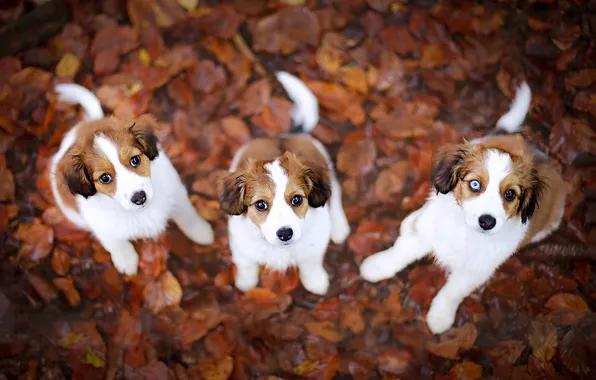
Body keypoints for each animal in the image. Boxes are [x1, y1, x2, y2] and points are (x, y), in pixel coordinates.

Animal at [50, 83, 214, 274]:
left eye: (135, 160)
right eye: (105, 178)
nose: (140, 197)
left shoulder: (175, 193)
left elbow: (188, 215)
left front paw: (201, 231)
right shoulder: (102, 227)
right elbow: (116, 244)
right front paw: (126, 261)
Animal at [218, 72, 350, 296]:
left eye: (296, 200)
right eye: (261, 204)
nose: (285, 234)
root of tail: (287, 134)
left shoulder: (314, 245)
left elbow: (311, 263)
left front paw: (316, 281)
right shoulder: (242, 247)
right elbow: (246, 265)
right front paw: (246, 283)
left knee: (336, 194)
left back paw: (339, 226)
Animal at [358, 82, 568, 332]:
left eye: (510, 194)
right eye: (475, 184)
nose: (487, 222)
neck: (464, 230)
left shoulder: (475, 270)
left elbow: (452, 292)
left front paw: (440, 317)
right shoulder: (427, 234)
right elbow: (401, 252)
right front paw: (378, 266)